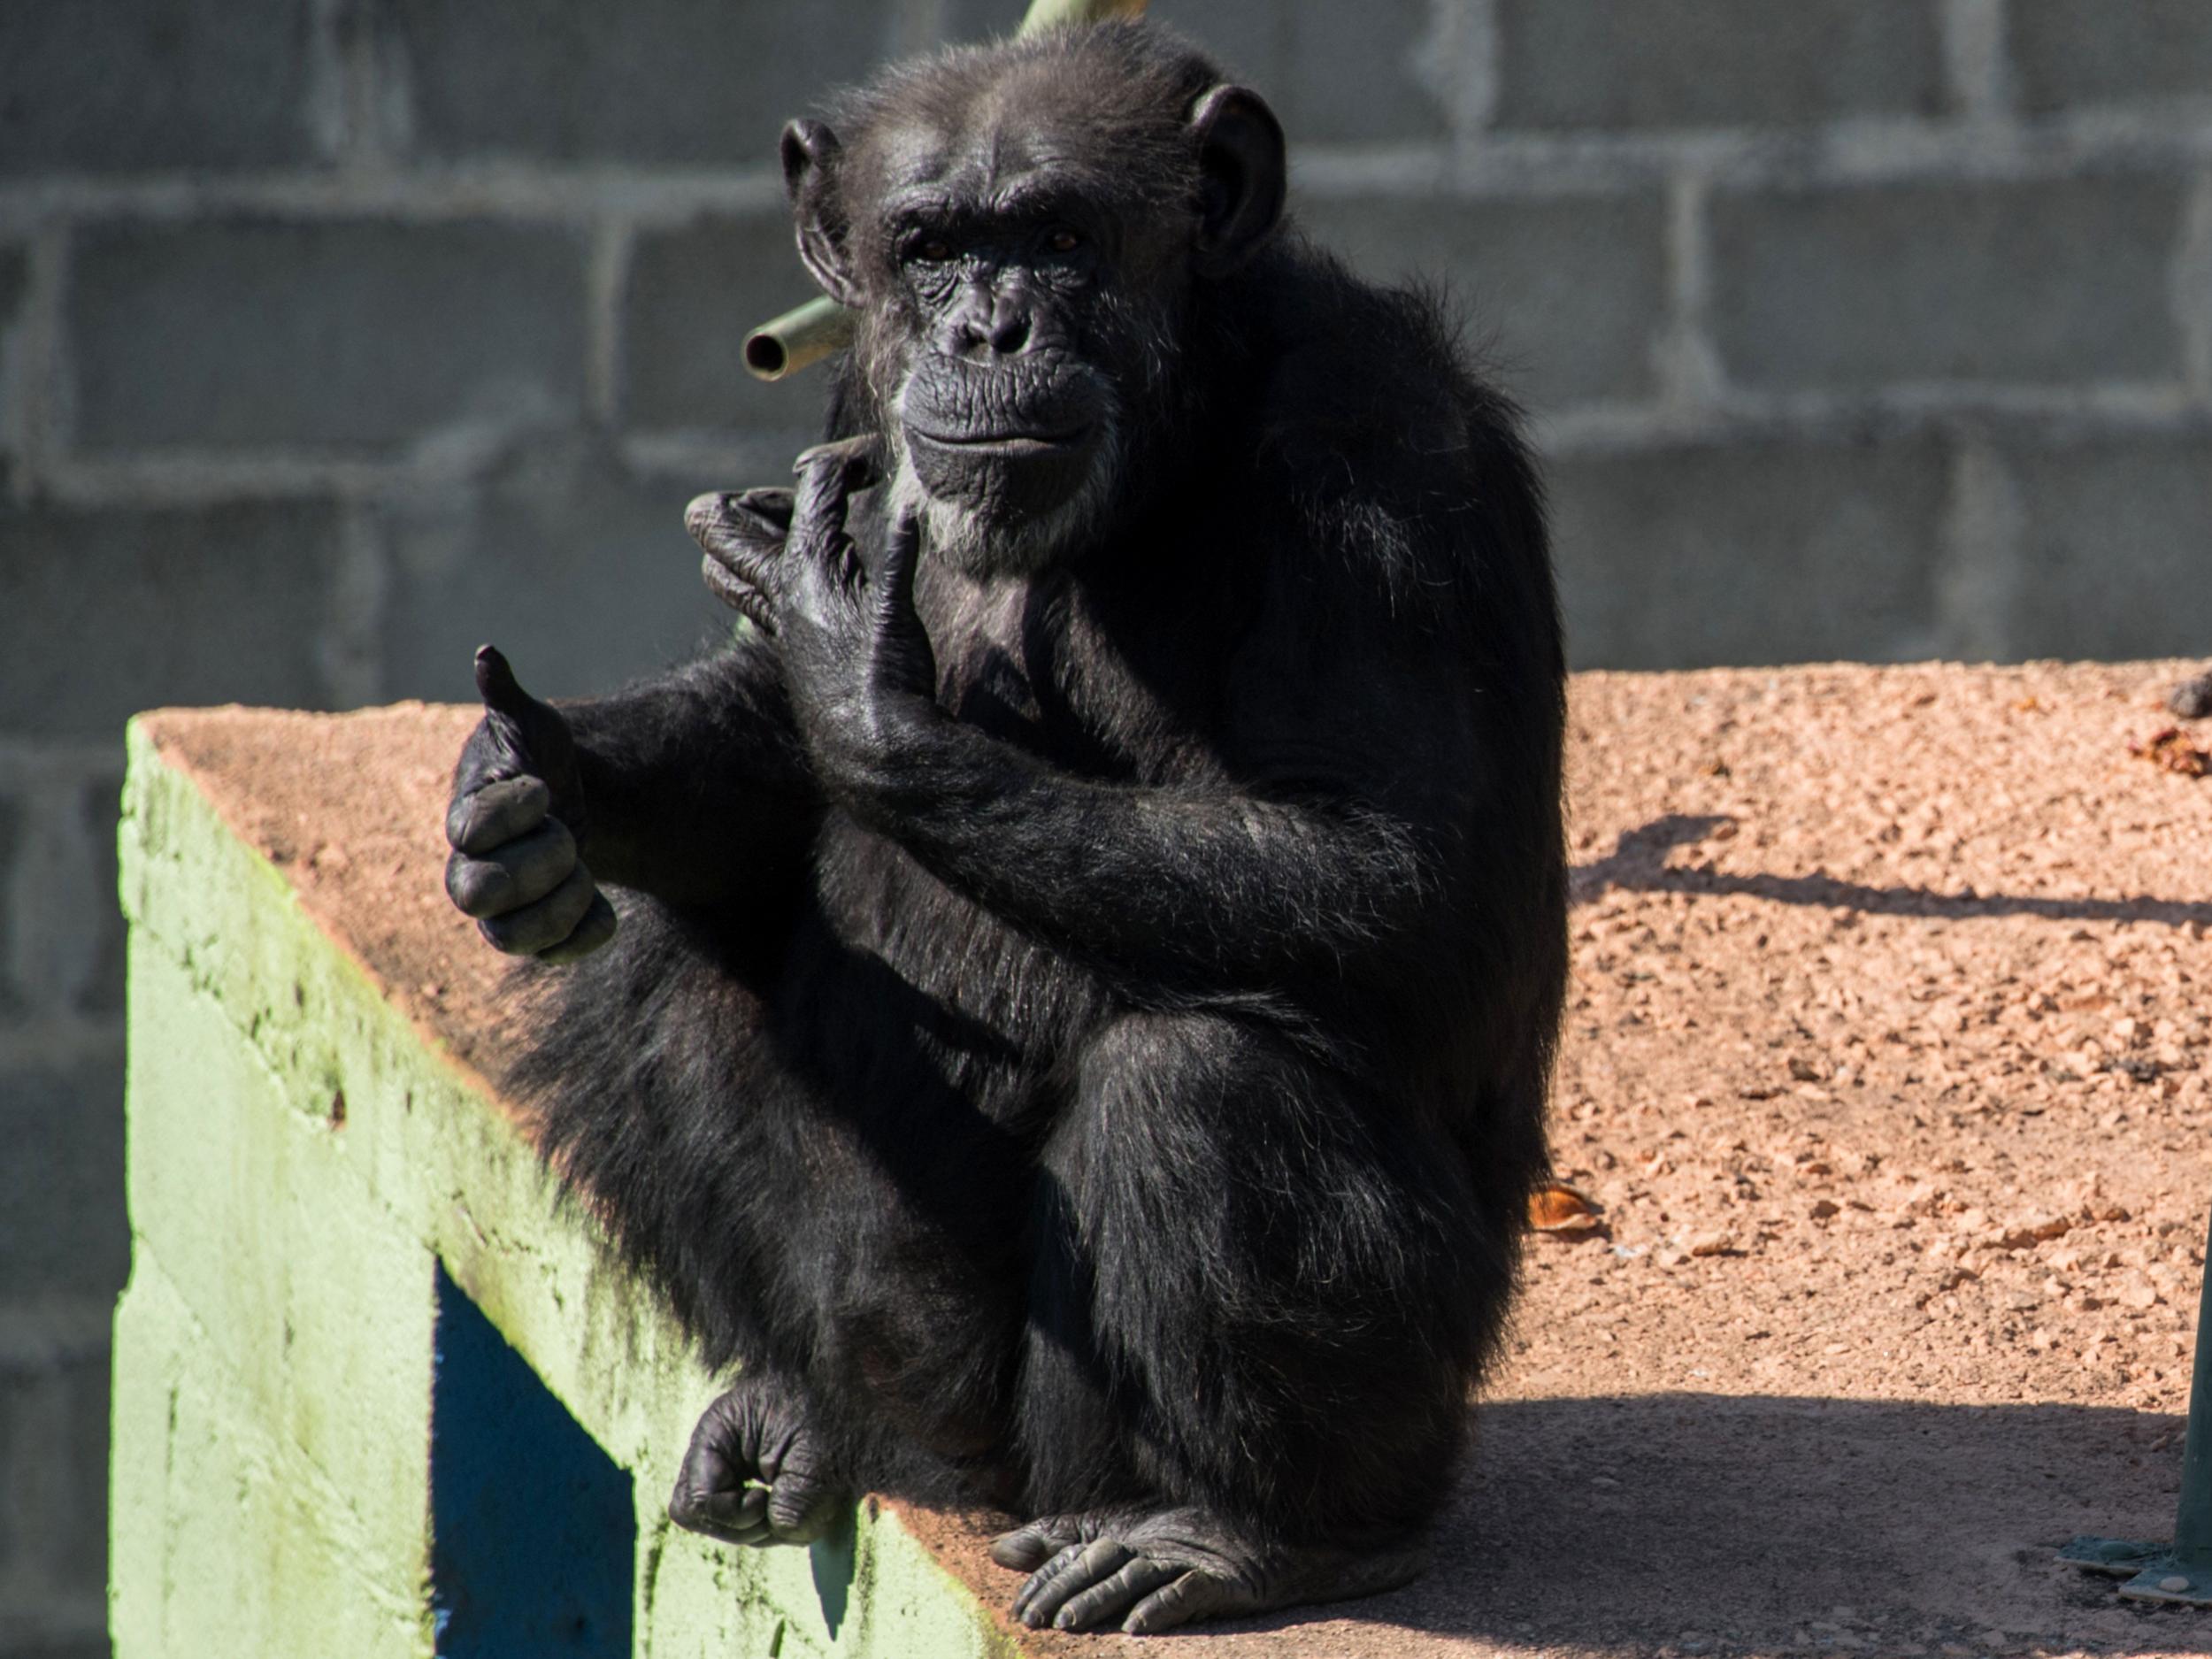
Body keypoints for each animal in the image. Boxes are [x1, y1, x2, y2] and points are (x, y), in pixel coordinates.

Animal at [440, 22, 1566, 1637]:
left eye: (1061, 236)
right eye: (930, 247)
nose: (988, 331)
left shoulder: (1383, 468)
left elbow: (1399, 874)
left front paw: (858, 675)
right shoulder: (851, 406)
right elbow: (756, 754)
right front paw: (534, 784)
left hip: (1329, 1414)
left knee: (1198, 1082)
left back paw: (1248, 1534)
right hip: (948, 1375)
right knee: (657, 975)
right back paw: (813, 1405)